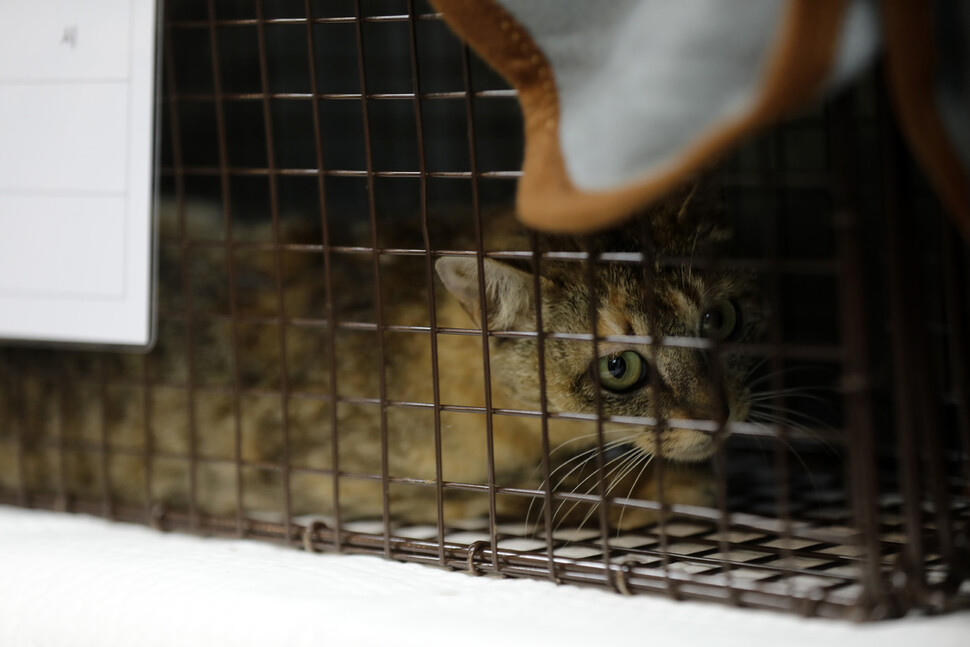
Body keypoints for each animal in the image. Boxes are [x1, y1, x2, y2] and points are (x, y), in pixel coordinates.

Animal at [0, 185, 760, 528]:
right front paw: (670, 489)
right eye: (619, 367)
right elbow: (539, 488)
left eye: (720, 320)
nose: (718, 415)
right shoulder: (331, 473)